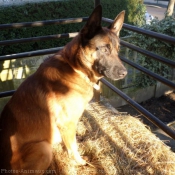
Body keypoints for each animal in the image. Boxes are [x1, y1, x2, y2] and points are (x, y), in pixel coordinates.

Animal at [0, 4, 126, 174]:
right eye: (105, 49)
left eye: (118, 50)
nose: (125, 73)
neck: (75, 67)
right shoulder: (67, 124)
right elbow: (73, 148)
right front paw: (80, 163)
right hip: (44, 148)